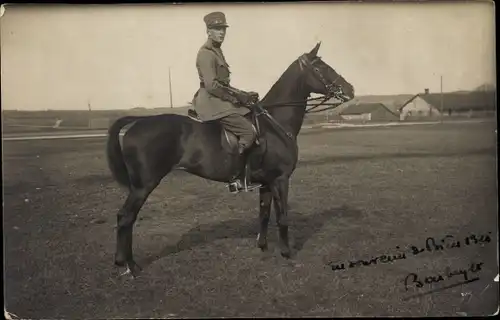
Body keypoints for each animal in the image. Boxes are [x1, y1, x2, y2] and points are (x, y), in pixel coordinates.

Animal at [106, 43, 356, 278]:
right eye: (321, 67)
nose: (350, 89)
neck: (274, 125)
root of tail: (137, 123)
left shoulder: (266, 183)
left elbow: (264, 214)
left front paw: (262, 246)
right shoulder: (281, 179)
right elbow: (282, 216)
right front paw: (286, 253)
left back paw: (123, 262)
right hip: (144, 185)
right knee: (126, 217)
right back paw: (130, 266)